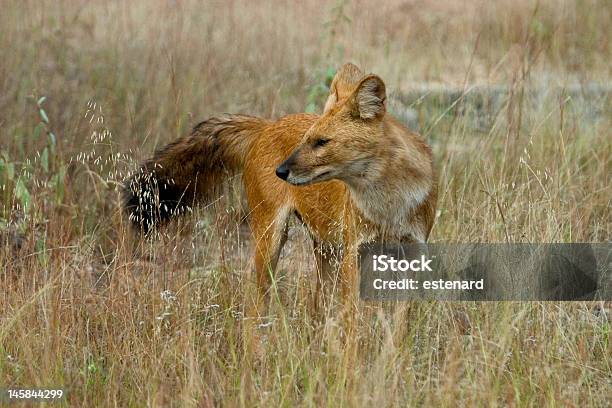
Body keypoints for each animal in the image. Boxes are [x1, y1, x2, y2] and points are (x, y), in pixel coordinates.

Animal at [123, 61, 436, 310]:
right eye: (308, 139)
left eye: (322, 142)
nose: (281, 171)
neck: (389, 203)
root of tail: (266, 125)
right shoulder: (354, 255)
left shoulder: (409, 257)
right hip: (271, 243)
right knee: (254, 310)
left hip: (326, 252)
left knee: (318, 307)